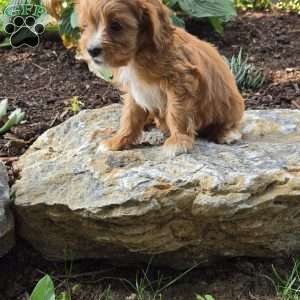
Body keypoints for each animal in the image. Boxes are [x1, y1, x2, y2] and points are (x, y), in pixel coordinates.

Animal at [78, 0, 245, 156]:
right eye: (86, 26)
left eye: (116, 25)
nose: (91, 50)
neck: (138, 54)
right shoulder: (135, 90)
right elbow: (129, 116)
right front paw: (117, 141)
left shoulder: (180, 81)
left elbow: (177, 112)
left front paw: (177, 142)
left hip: (229, 106)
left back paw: (227, 133)